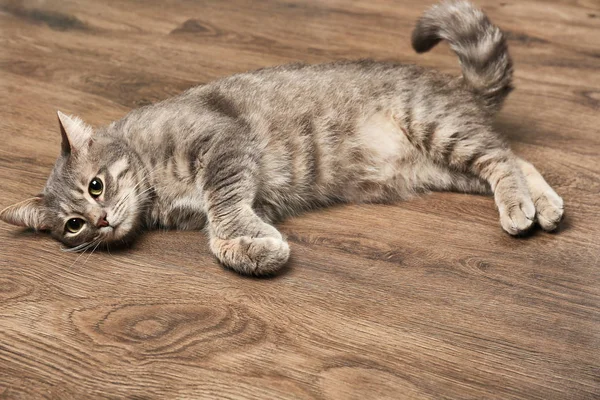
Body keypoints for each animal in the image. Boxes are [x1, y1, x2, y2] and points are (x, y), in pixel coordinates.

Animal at [0, 0, 564, 276]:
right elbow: (222, 227)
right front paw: (253, 249)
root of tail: (455, 87)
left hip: (438, 129)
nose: (99, 221)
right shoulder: (235, 193)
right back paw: (544, 204)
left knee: (501, 159)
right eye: (72, 226)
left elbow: (223, 208)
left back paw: (522, 208)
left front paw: (248, 245)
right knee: (516, 160)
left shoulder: (223, 146)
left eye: (96, 186)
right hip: (439, 168)